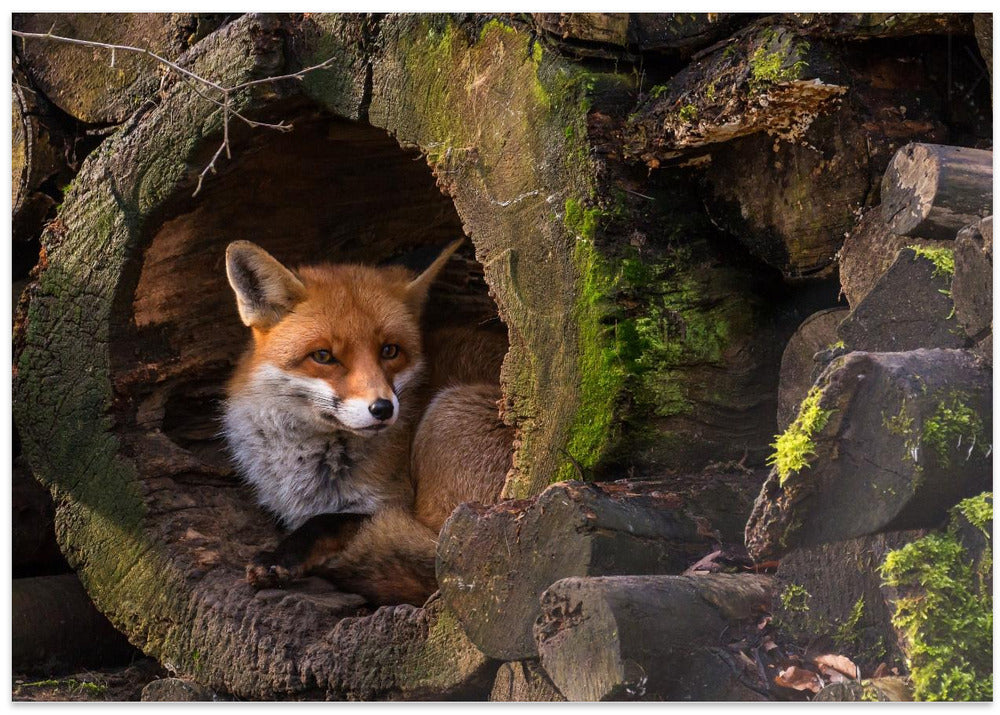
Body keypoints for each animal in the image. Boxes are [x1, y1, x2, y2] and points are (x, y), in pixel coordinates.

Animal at [221, 238, 513, 605]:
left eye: (390, 350)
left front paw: (280, 556)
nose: (383, 408)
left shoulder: (390, 503)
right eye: (323, 356)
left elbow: (328, 521)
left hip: (448, 426)